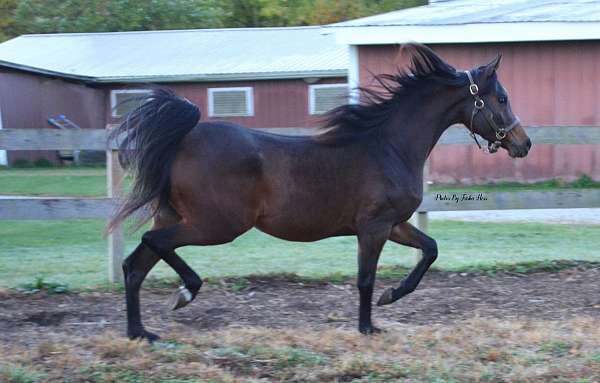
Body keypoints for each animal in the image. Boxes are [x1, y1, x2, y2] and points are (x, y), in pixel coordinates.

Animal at [110, 42, 532, 342]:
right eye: (502, 98)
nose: (523, 144)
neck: (389, 146)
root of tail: (183, 139)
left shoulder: (395, 224)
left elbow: (430, 250)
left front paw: (391, 296)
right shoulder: (374, 227)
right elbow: (365, 278)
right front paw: (368, 327)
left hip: (178, 217)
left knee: (134, 266)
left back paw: (140, 333)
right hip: (215, 225)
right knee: (152, 244)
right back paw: (184, 294)